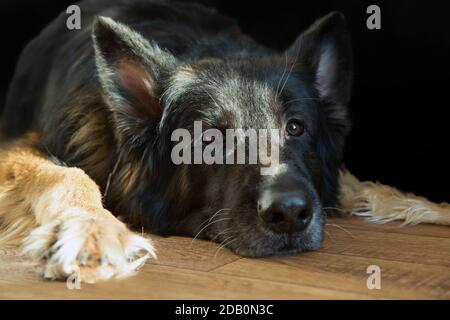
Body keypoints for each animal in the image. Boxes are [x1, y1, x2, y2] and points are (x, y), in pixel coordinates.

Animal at [0, 0, 450, 284]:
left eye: (295, 127)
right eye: (211, 138)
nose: (290, 213)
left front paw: (426, 207)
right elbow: (67, 176)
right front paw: (91, 231)